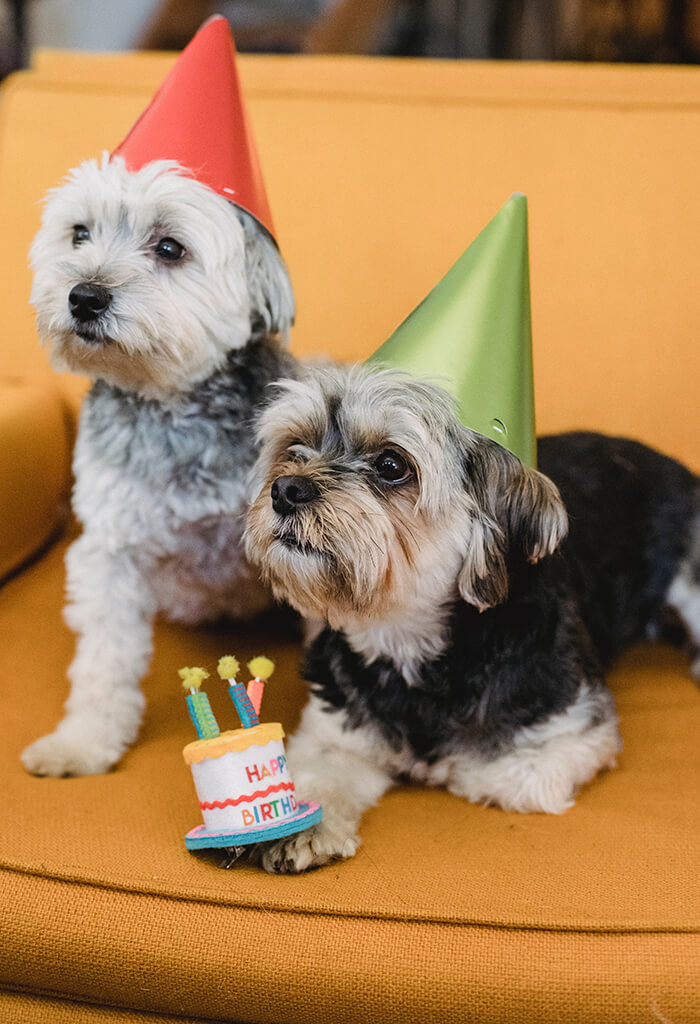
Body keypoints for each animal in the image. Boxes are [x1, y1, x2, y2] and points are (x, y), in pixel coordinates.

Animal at [21, 153, 294, 774]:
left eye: (170, 248)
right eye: (79, 233)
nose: (83, 297)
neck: (173, 410)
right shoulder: (109, 553)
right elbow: (103, 662)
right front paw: (83, 742)